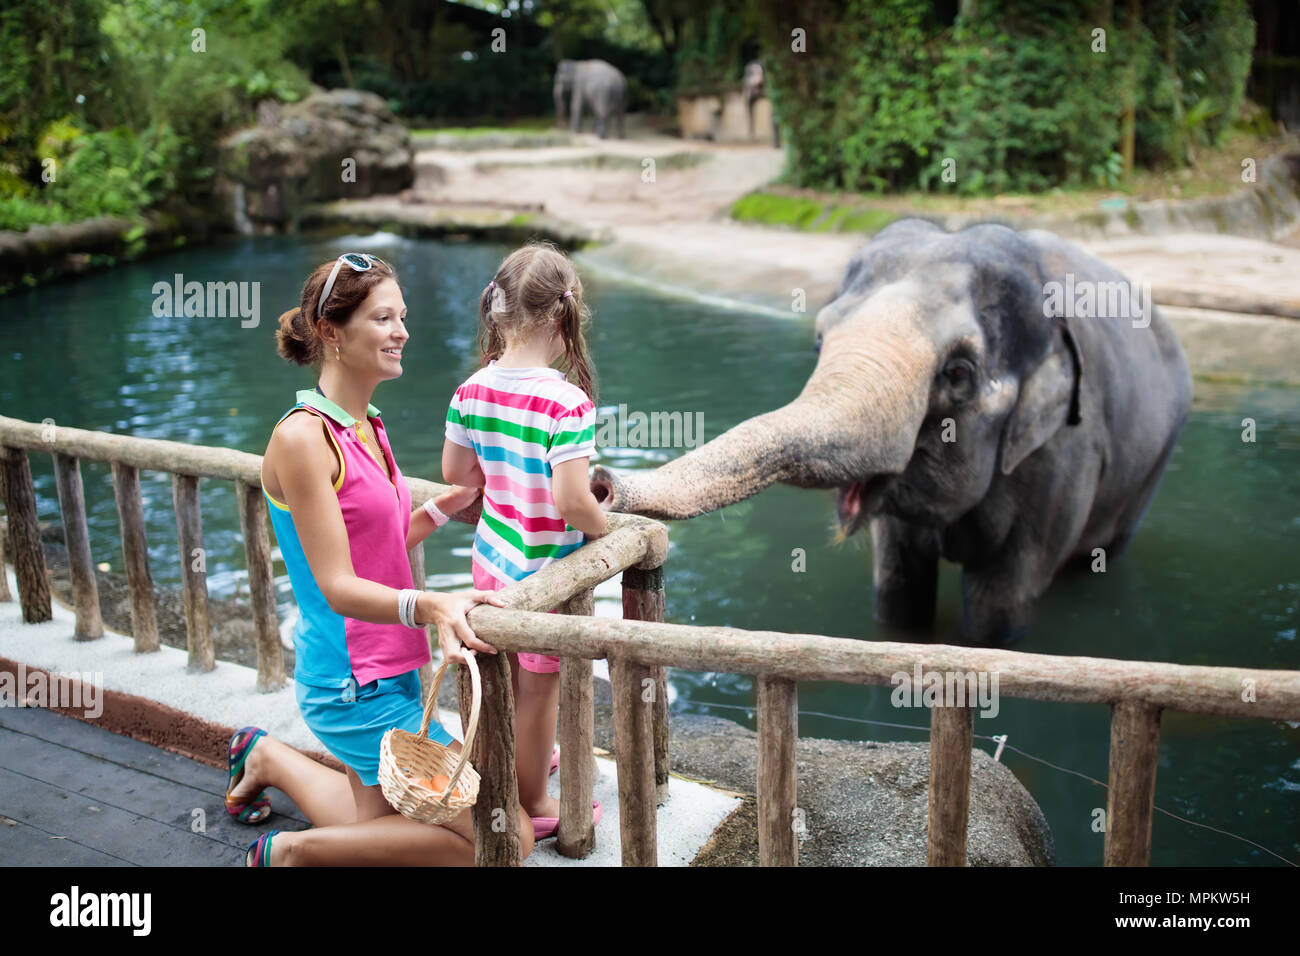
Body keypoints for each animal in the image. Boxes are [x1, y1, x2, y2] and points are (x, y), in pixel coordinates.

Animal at [595, 221, 1190, 647]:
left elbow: (999, 605)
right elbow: (898, 589)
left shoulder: (1061, 457)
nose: (601, 483)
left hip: (1151, 465)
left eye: (958, 374)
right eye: (819, 340)